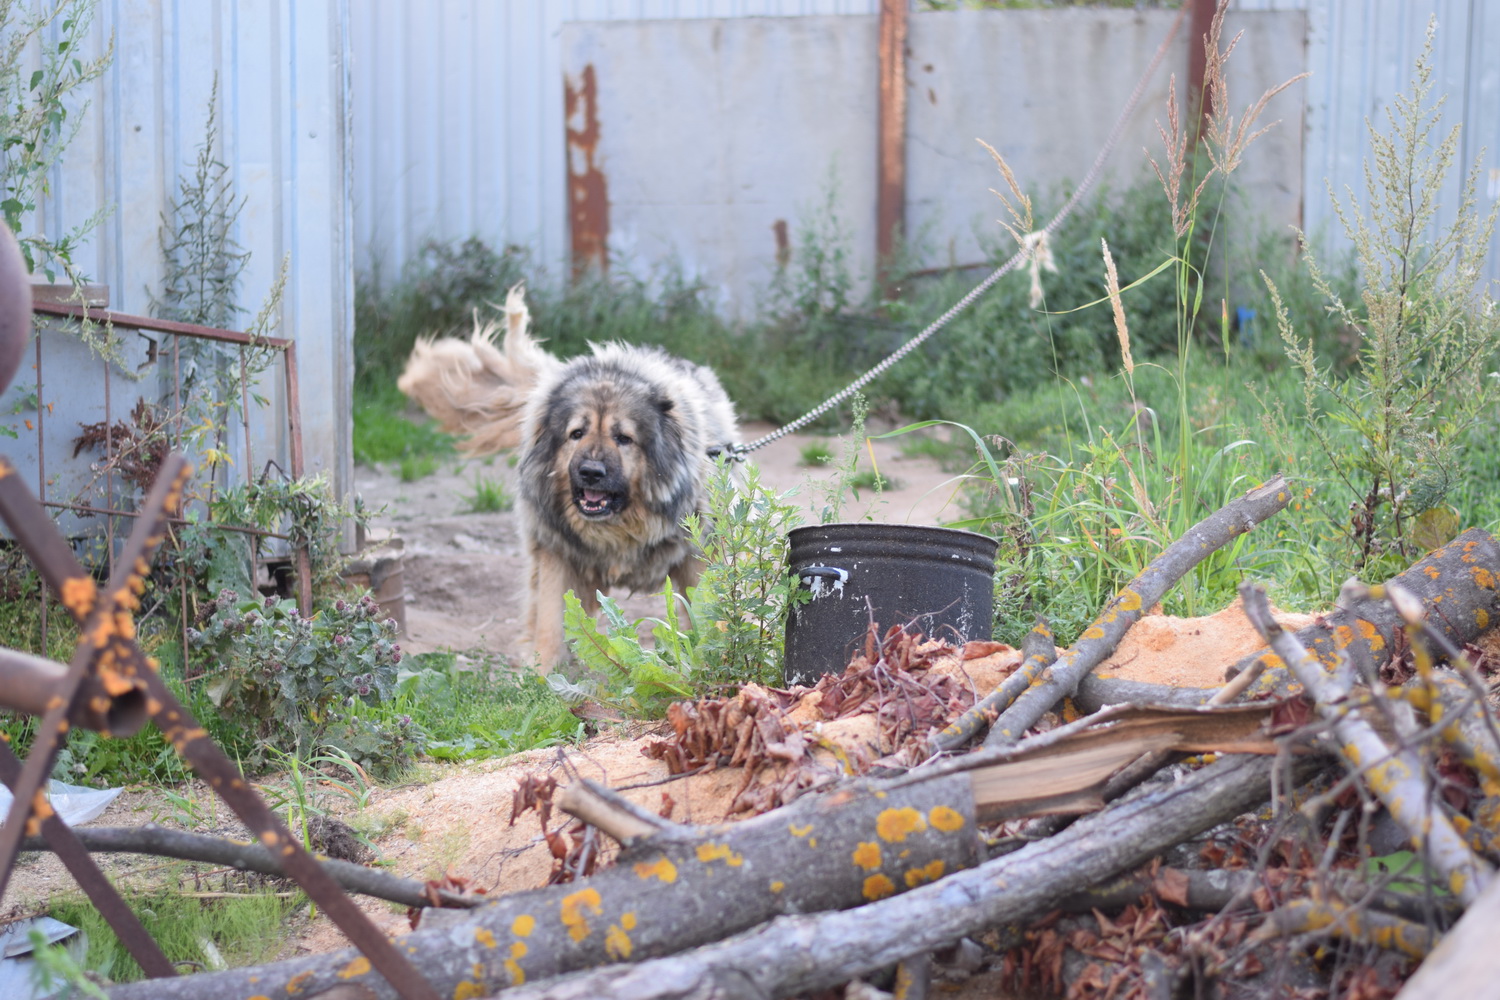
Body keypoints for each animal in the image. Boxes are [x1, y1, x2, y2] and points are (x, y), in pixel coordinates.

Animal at [393, 284, 732, 668]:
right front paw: (542, 672)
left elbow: (704, 614)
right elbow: (552, 621)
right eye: (576, 433)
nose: (591, 472)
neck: (618, 531)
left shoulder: (694, 558)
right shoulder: (558, 553)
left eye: (623, 438)